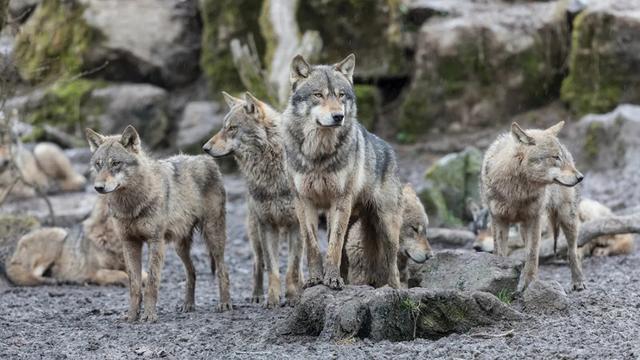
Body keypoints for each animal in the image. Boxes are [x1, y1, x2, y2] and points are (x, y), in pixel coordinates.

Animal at [86, 125, 231, 322]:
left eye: (116, 163)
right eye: (98, 164)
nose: (99, 187)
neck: (132, 204)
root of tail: (206, 159)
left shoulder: (155, 242)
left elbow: (151, 283)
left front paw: (149, 315)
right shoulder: (129, 243)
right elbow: (134, 285)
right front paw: (132, 316)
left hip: (213, 236)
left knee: (223, 269)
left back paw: (225, 304)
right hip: (179, 246)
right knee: (192, 272)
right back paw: (188, 305)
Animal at [205, 91, 304, 308]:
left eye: (232, 128)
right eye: (223, 127)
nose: (205, 148)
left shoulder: (297, 225)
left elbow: (292, 267)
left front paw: (293, 296)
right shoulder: (267, 225)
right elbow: (272, 269)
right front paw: (272, 299)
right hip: (255, 232)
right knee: (257, 263)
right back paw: (257, 295)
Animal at [282, 53, 402, 290]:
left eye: (341, 95)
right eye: (318, 95)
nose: (338, 116)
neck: (318, 154)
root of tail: (389, 149)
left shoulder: (339, 201)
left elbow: (333, 246)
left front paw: (332, 279)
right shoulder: (304, 201)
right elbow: (312, 245)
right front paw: (315, 279)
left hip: (386, 227)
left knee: (393, 266)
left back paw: (394, 290)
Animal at [480, 121, 584, 292]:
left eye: (561, 157)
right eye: (556, 157)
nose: (581, 177)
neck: (517, 192)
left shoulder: (535, 219)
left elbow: (532, 254)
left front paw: (529, 284)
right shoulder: (498, 219)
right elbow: (499, 253)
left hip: (567, 218)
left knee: (573, 251)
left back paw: (578, 281)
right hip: (523, 228)